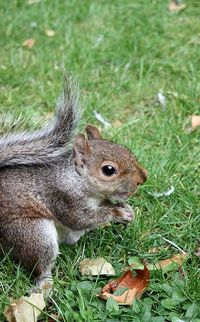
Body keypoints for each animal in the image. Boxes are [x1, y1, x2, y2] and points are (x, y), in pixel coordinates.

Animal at [0, 75, 147, 292]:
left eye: (125, 149)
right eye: (108, 170)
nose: (143, 178)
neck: (77, 179)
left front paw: (127, 211)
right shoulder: (63, 197)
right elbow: (79, 218)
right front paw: (116, 213)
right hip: (32, 234)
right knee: (40, 262)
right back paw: (45, 284)